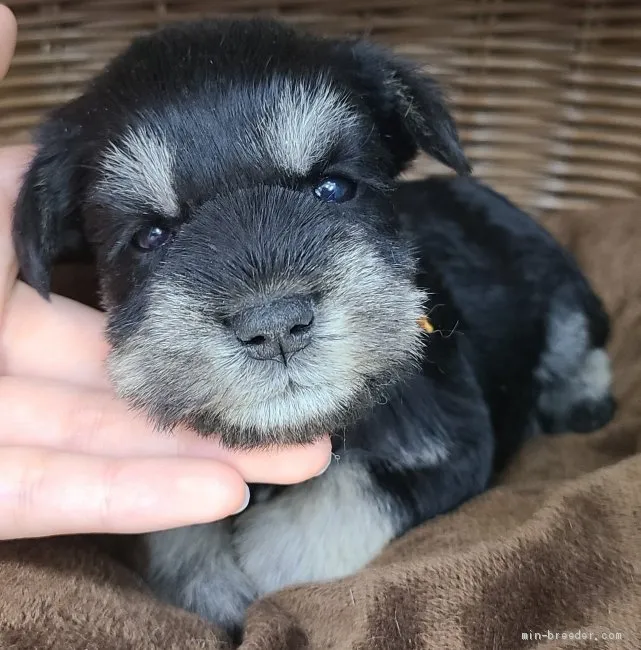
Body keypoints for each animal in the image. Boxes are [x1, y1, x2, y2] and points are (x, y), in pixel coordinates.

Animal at [11, 16, 616, 636]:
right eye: (150, 236)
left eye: (334, 188)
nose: (274, 326)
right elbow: (175, 530)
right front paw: (206, 580)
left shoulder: (454, 449)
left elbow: (333, 510)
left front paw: (260, 562)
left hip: (561, 292)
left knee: (581, 345)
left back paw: (580, 402)